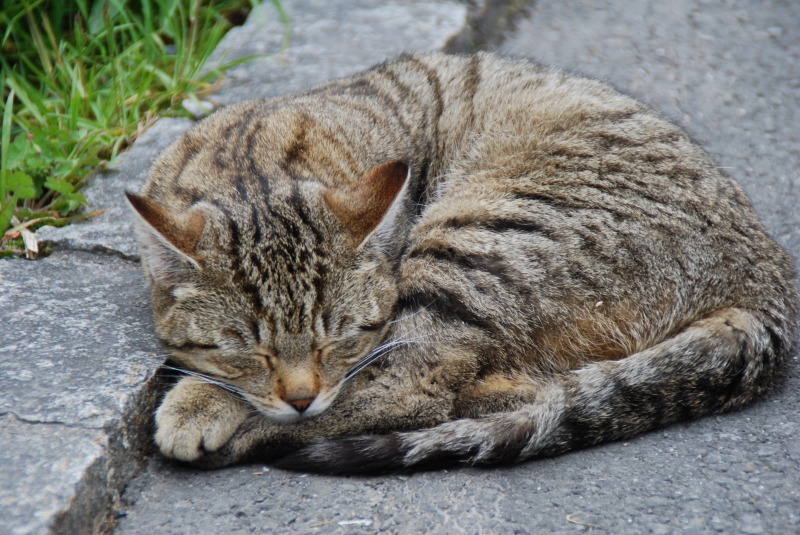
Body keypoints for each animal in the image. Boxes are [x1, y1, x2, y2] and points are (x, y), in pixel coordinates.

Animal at [125, 52, 792, 476]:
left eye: (336, 339)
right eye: (251, 349)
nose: (299, 398)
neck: (249, 164)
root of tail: (766, 282)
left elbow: (358, 384)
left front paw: (201, 401)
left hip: (473, 243)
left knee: (412, 391)